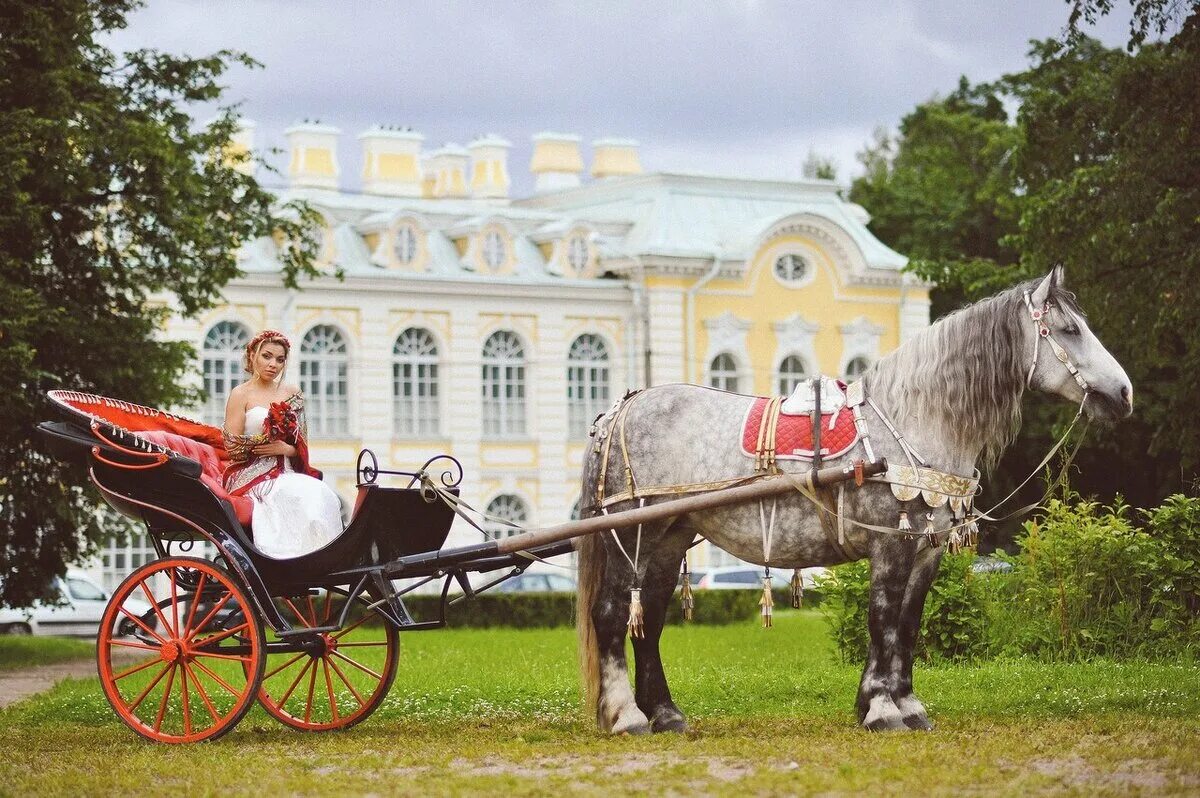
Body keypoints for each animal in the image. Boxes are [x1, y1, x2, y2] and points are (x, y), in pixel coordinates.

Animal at [576, 268, 1128, 734]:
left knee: (648, 620)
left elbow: (907, 626)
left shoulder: (924, 551)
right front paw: (882, 710)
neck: (909, 422)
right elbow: (882, 620)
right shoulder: (892, 545)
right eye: (1070, 330)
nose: (1124, 394)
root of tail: (618, 410)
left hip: (670, 538)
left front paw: (904, 705)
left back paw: (666, 714)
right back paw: (627, 716)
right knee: (611, 614)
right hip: (629, 534)